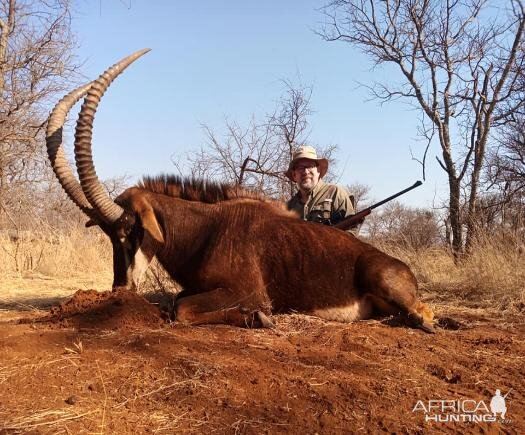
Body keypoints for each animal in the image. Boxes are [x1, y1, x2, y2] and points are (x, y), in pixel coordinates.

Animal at [46, 48, 434, 334]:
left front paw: (257, 318)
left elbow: (181, 308)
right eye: (109, 236)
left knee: (423, 314)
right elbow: (177, 300)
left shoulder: (248, 292)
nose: (119, 292)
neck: (204, 231)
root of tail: (401, 267)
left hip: (386, 283)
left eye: (131, 229)